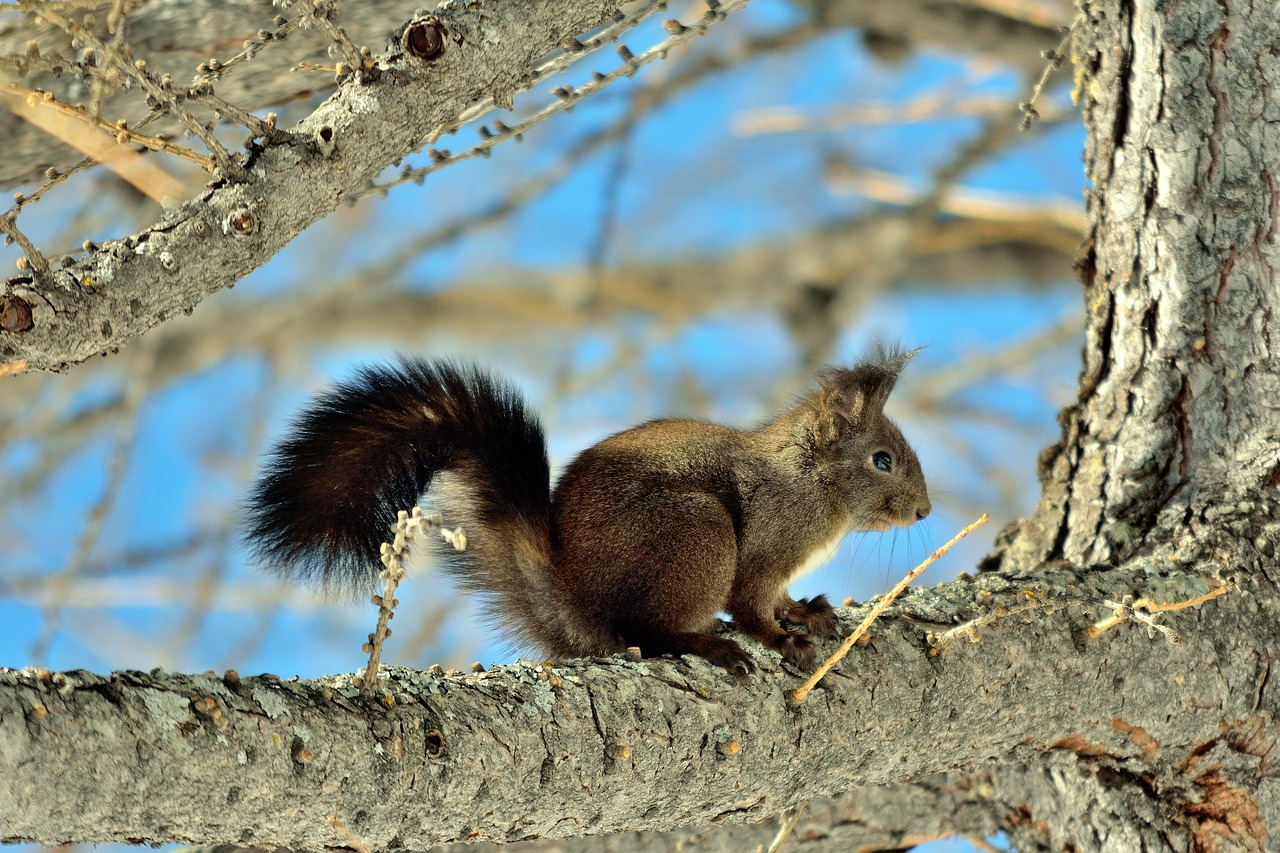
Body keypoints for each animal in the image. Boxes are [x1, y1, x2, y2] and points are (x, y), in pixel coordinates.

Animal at [247, 343, 931, 676]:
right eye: (882, 461)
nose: (925, 512)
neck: (814, 485)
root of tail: (576, 601)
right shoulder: (766, 540)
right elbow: (752, 603)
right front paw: (779, 638)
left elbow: (782, 598)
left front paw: (807, 612)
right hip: (698, 531)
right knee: (643, 633)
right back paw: (707, 644)